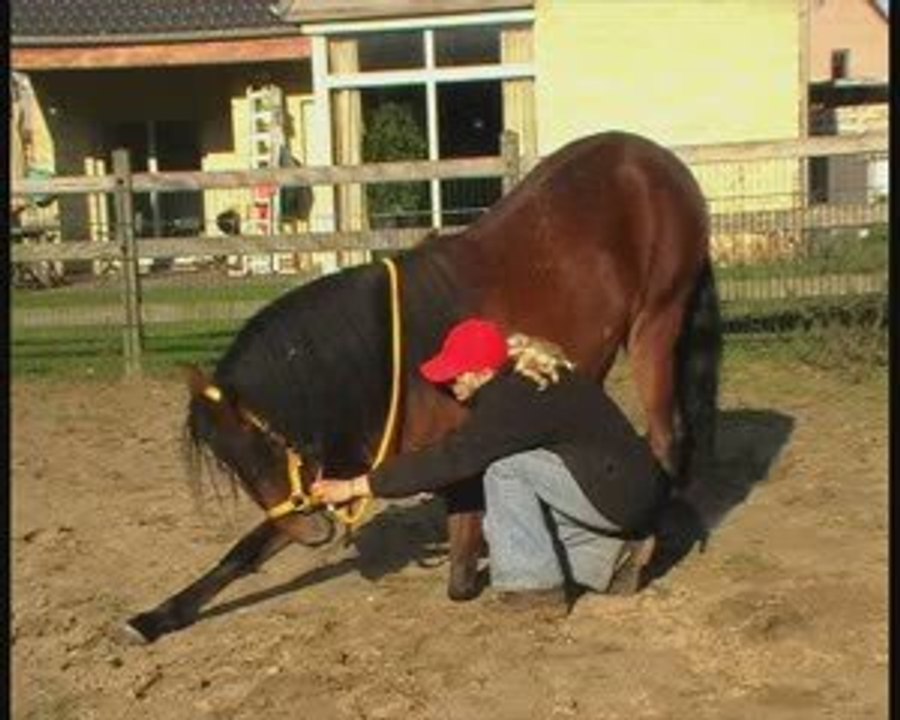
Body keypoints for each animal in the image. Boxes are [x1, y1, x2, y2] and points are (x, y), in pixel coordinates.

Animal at [124, 130, 722, 644]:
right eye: (229, 462)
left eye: (269, 438)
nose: (312, 533)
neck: (392, 355)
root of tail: (657, 161)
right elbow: (245, 550)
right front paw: (155, 617)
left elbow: (459, 569)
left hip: (655, 323)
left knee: (666, 435)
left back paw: (642, 551)